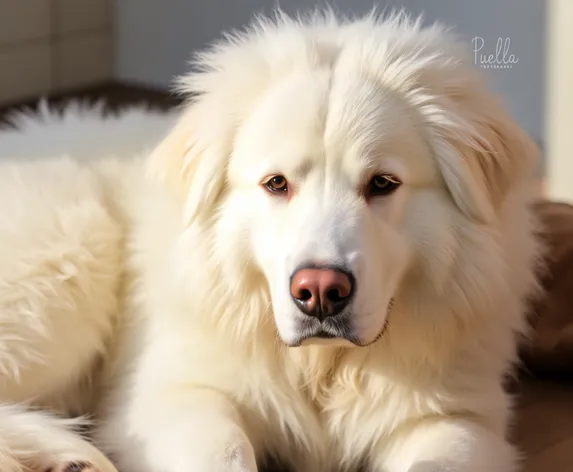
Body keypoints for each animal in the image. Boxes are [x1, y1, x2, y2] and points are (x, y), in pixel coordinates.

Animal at [0, 10, 540, 472]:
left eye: (383, 183)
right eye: (276, 183)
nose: (319, 292)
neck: (322, 369)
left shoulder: (459, 419)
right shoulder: (175, 395)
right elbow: (225, 453)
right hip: (70, 263)